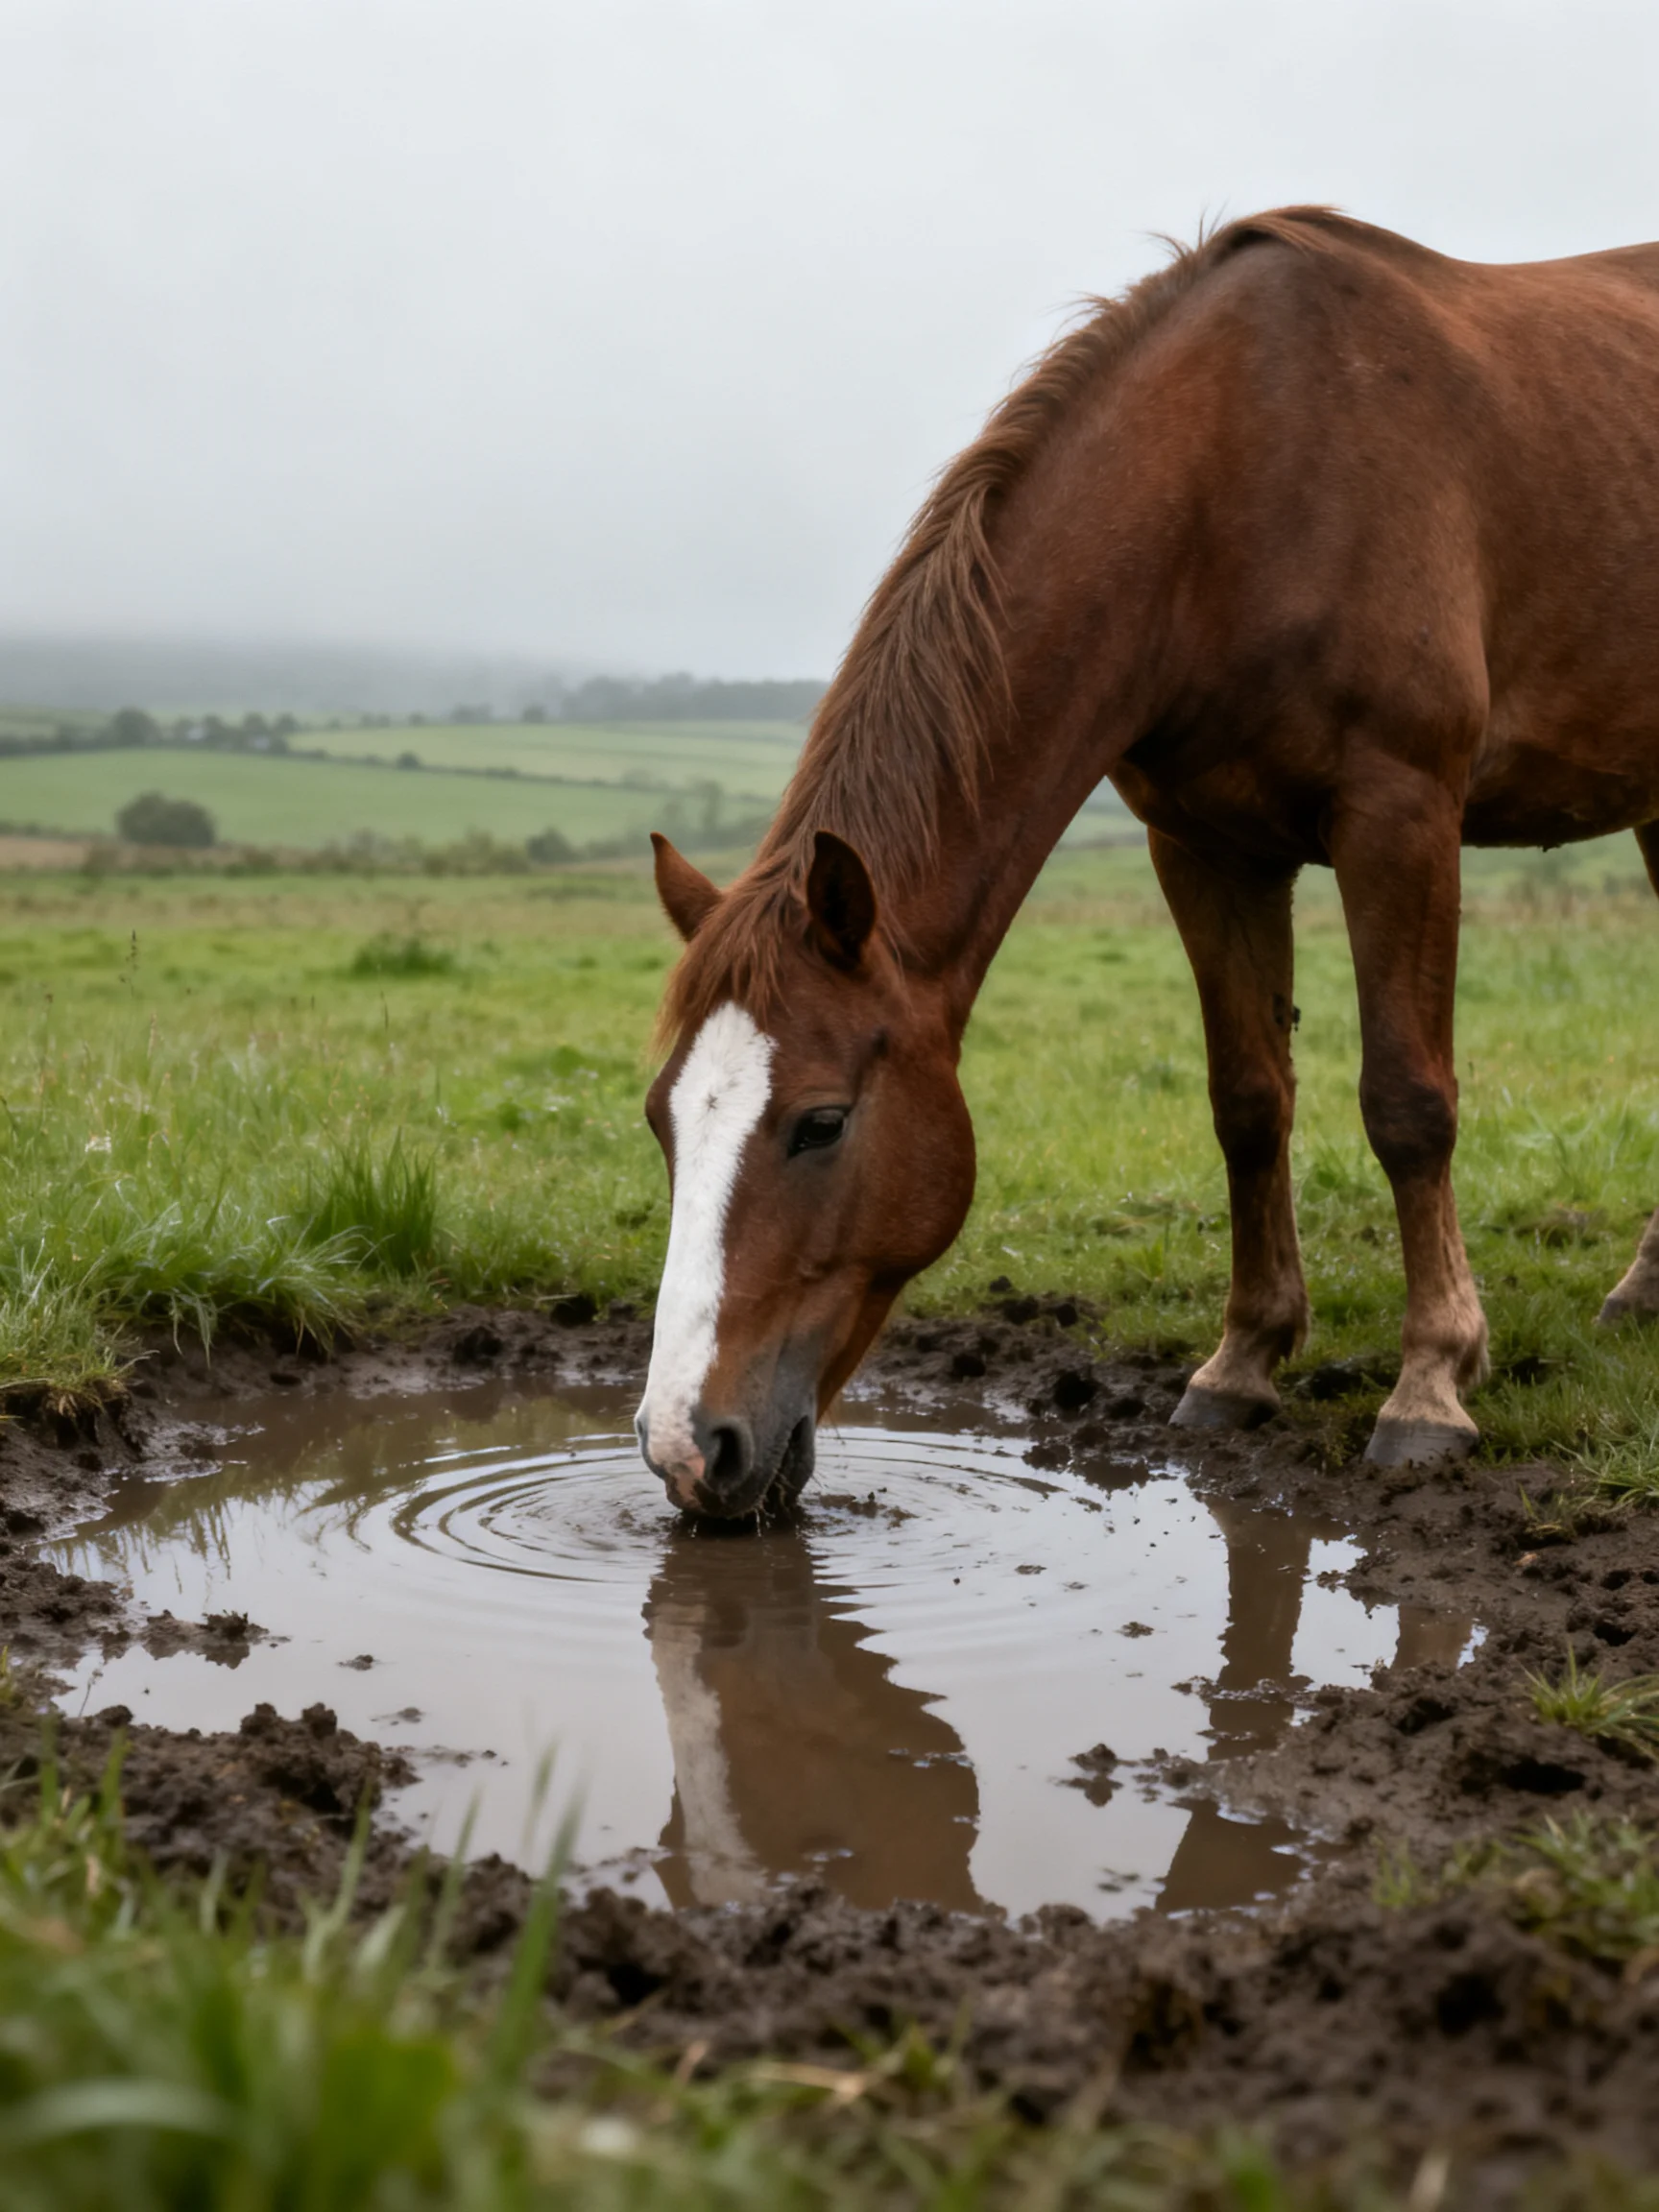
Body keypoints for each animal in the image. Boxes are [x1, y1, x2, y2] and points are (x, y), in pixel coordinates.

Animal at [635, 207, 1659, 1518]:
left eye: (819, 1124)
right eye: (664, 1121)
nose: (686, 1449)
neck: (1237, 476)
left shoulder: (1401, 814)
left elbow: (1407, 1102)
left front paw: (1431, 1382)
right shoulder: (1205, 846)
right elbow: (1248, 1102)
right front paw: (1242, 1363)